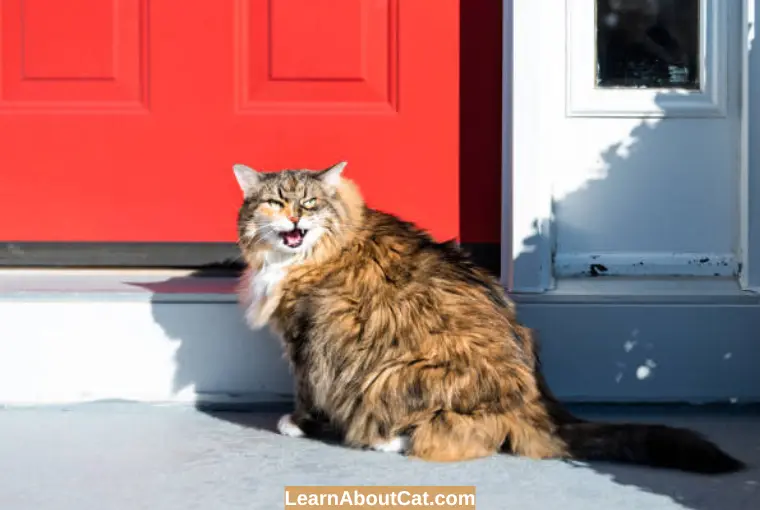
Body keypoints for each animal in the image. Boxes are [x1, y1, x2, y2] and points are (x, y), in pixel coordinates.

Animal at [230, 162, 744, 474]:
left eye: (309, 203)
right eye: (275, 202)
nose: (295, 219)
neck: (307, 257)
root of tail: (537, 399)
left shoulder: (305, 335)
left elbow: (307, 389)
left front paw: (296, 424)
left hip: (392, 376)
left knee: (455, 437)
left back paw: (384, 440)